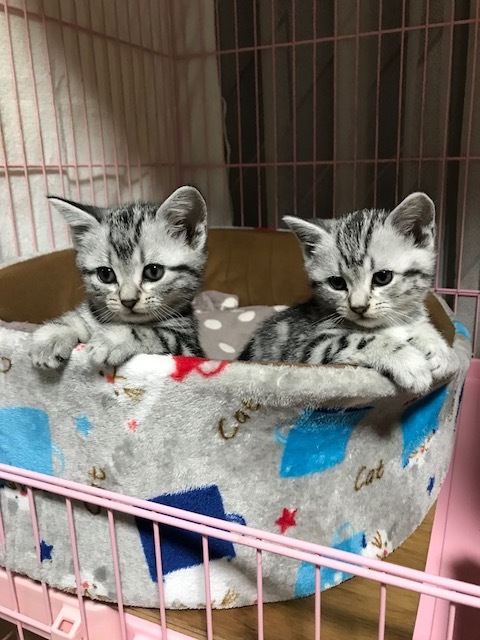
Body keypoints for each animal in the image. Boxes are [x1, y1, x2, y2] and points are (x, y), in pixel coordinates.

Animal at [30, 186, 208, 369]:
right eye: (105, 274)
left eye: (153, 272)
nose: (128, 301)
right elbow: (79, 320)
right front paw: (53, 336)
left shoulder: (188, 349)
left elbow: (153, 334)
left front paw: (111, 339)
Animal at [238, 192, 454, 395]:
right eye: (337, 283)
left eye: (383, 277)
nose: (358, 307)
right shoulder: (305, 351)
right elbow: (355, 340)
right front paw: (407, 359)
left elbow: (420, 325)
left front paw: (436, 346)